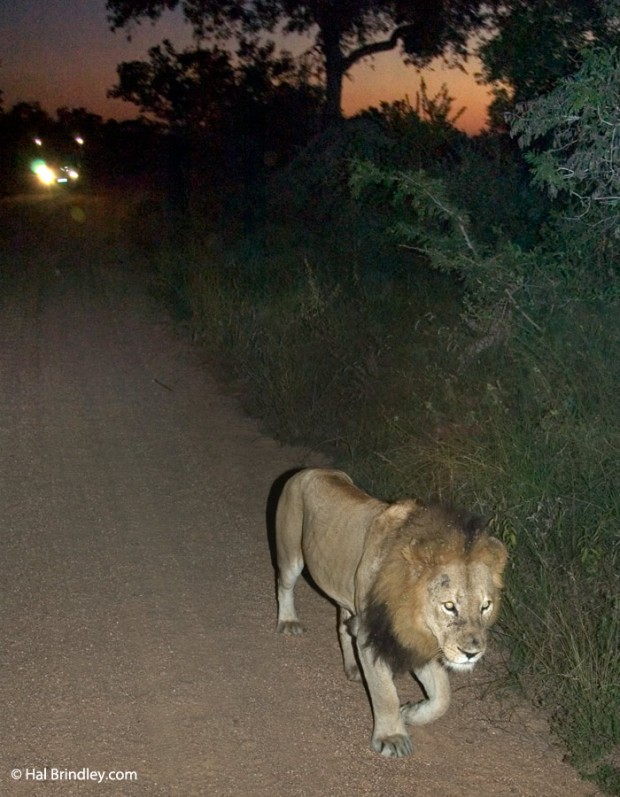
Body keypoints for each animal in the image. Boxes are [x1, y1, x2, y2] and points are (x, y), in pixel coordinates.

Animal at [276, 466, 508, 760]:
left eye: (485, 606)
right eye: (449, 606)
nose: (471, 653)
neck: (412, 612)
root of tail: (311, 469)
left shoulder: (421, 637)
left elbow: (443, 697)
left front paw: (411, 712)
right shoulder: (372, 634)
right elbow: (385, 692)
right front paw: (392, 737)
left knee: (343, 621)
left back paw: (353, 667)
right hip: (291, 552)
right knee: (284, 584)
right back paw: (288, 621)